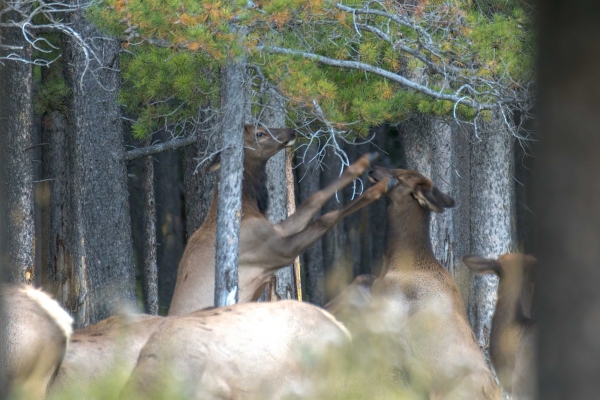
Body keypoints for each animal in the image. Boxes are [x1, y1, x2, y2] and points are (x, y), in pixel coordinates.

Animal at [169, 123, 396, 314]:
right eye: (260, 133)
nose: (291, 131)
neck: (250, 208)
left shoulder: (274, 231)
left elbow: (314, 199)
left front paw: (365, 161)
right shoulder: (274, 251)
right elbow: (325, 219)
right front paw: (380, 186)